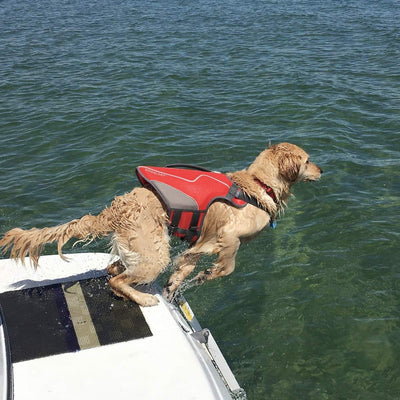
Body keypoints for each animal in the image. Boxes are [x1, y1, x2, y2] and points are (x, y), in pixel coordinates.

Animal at [0, 142, 322, 304]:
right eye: (307, 160)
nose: (322, 170)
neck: (258, 186)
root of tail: (116, 208)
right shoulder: (227, 236)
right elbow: (228, 265)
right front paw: (210, 274)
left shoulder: (199, 244)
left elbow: (185, 266)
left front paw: (178, 283)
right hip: (154, 254)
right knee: (117, 279)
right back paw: (144, 300)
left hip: (144, 248)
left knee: (113, 270)